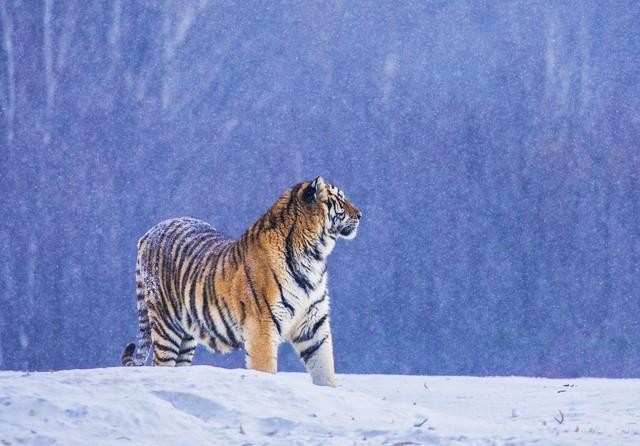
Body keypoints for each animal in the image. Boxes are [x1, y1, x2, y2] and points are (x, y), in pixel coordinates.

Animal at [121, 177, 361, 387]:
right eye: (340, 199)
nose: (360, 214)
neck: (314, 256)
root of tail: (150, 232)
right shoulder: (262, 326)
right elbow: (265, 368)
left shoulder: (314, 324)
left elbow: (325, 368)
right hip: (166, 325)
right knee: (160, 363)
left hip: (186, 336)